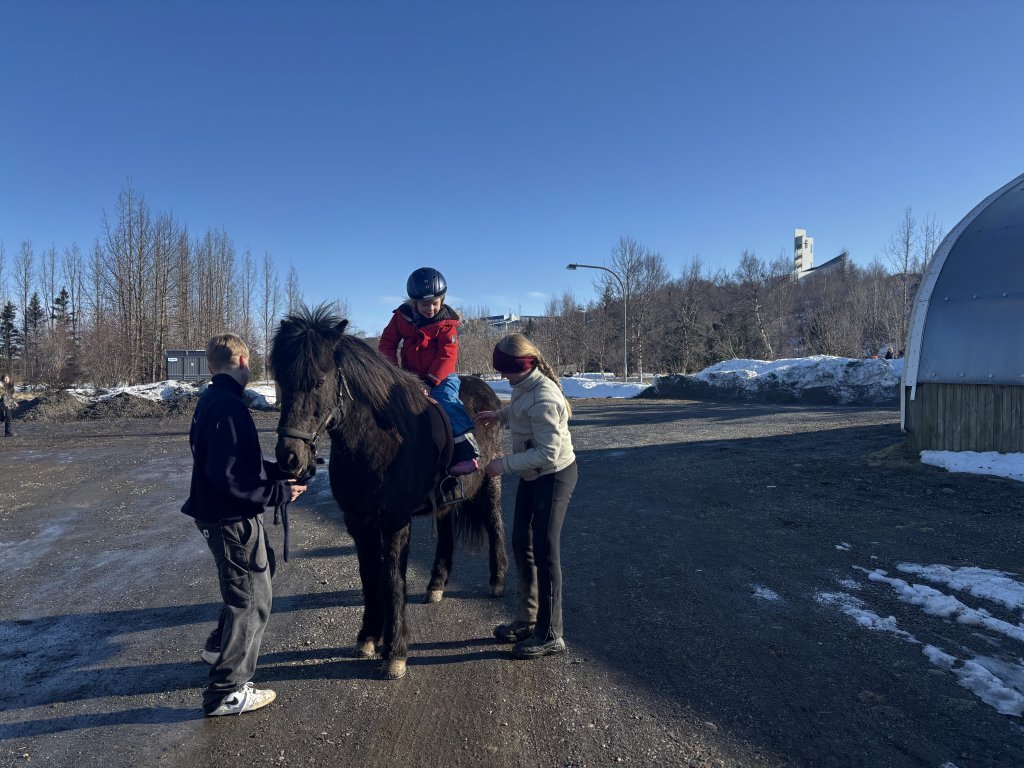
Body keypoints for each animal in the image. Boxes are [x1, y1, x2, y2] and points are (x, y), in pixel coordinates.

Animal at [270, 304, 507, 679]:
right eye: (280, 381)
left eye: (319, 381)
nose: (289, 457)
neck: (380, 439)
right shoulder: (358, 521)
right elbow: (370, 577)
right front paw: (369, 637)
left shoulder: (395, 520)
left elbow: (393, 578)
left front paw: (395, 652)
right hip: (445, 499)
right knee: (446, 533)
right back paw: (436, 584)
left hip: (490, 483)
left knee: (495, 525)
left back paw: (497, 580)